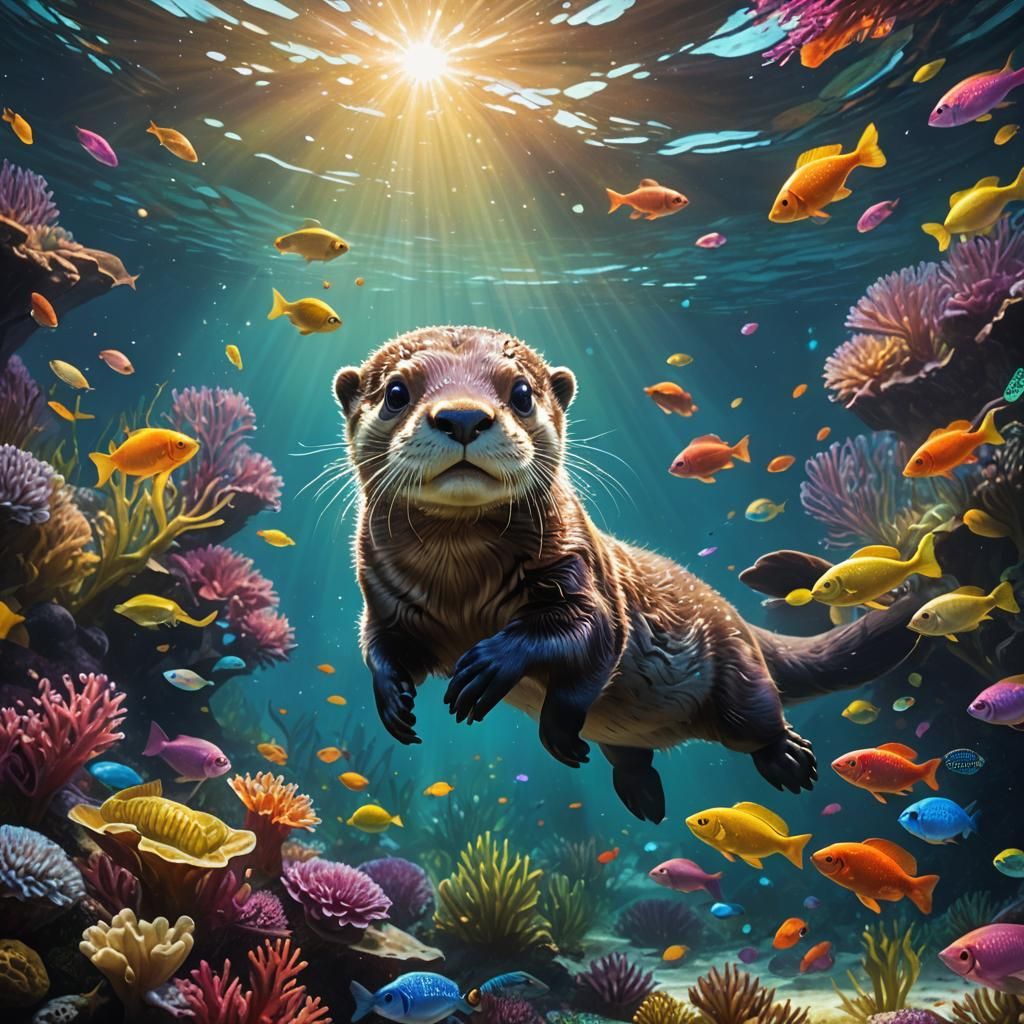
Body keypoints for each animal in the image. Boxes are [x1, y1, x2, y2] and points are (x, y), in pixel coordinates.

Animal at [333, 326, 921, 822]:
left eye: (521, 392)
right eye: (395, 392)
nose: (461, 417)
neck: (462, 590)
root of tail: (737, 616)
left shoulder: (582, 573)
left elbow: (587, 638)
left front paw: (493, 669)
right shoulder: (382, 600)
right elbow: (379, 646)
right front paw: (393, 699)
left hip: (739, 675)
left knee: (758, 719)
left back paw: (789, 758)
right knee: (632, 755)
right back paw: (643, 795)